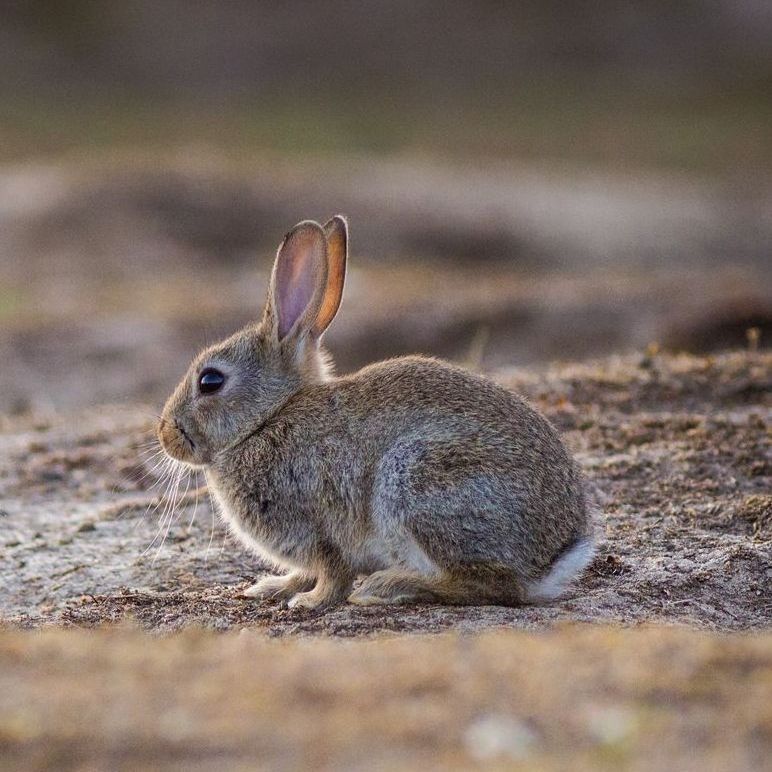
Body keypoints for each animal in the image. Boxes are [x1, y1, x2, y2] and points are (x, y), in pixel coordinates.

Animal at [157, 216, 596, 610]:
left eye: (210, 381)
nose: (165, 434)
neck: (268, 419)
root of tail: (558, 553)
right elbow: (303, 571)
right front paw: (272, 587)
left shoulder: (319, 524)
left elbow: (332, 571)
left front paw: (310, 601)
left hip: (418, 482)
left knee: (494, 585)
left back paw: (388, 587)